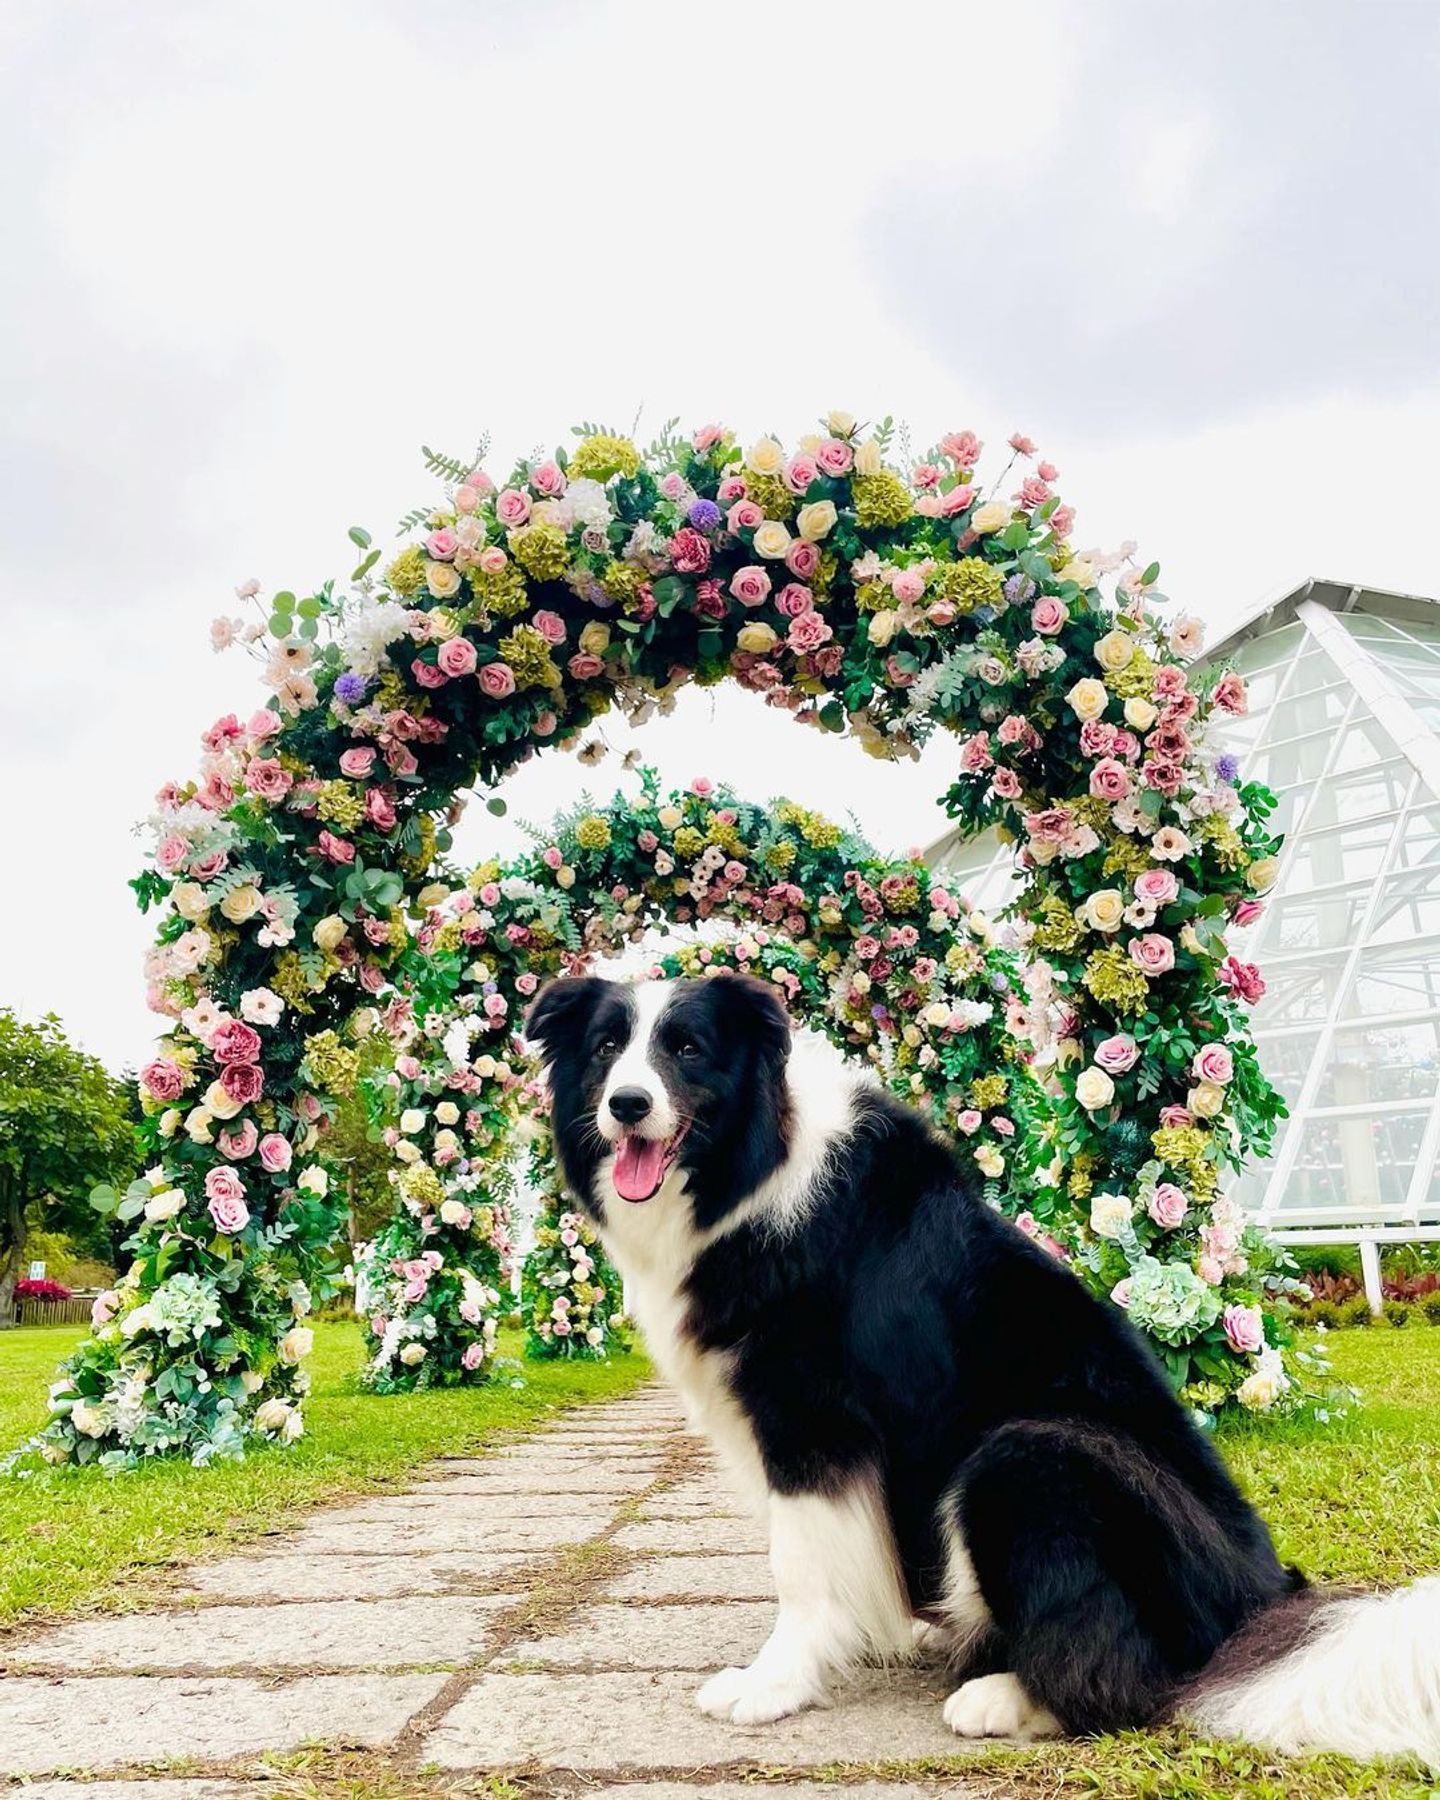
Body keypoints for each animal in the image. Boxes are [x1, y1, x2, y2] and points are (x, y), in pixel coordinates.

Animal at [529, 972, 1440, 1756]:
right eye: (607, 1048)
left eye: (687, 1048)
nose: (627, 1105)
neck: (751, 1163)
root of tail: (1258, 1605)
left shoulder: (809, 1413)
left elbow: (799, 1563)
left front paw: (771, 1685)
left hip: (1030, 1454)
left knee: (1135, 1679)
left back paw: (1005, 1697)